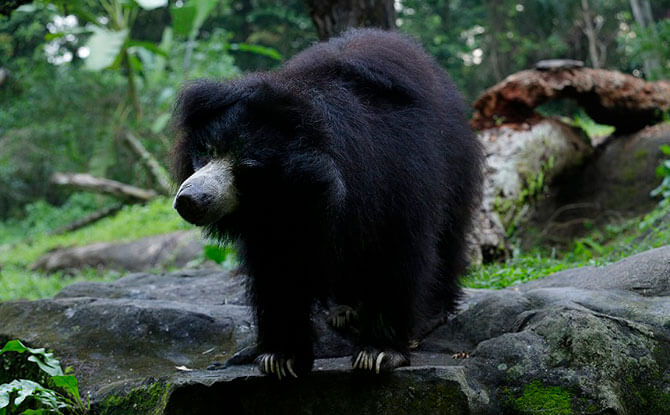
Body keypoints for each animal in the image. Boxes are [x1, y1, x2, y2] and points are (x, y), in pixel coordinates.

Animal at [171, 28, 486, 380]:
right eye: (206, 151)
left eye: (249, 166)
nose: (190, 199)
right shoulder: (274, 222)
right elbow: (278, 270)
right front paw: (280, 357)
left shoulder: (398, 178)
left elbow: (395, 252)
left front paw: (378, 353)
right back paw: (342, 309)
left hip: (455, 164)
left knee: (448, 235)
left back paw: (432, 312)